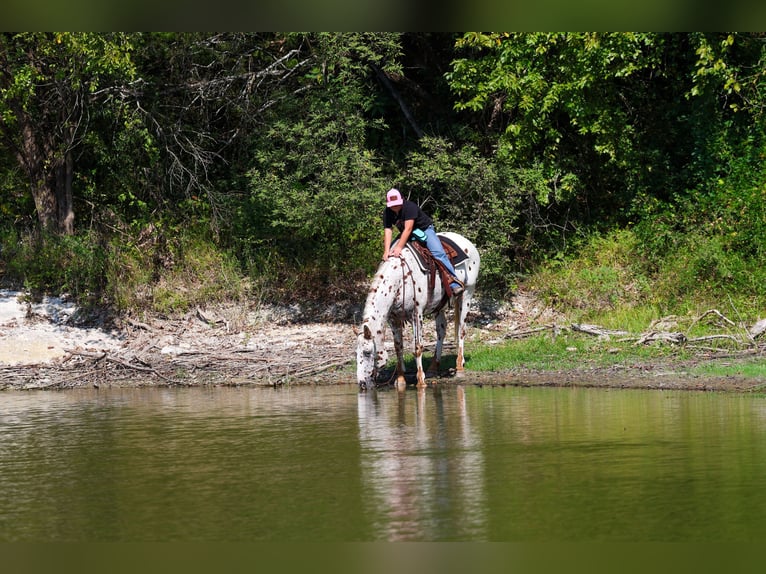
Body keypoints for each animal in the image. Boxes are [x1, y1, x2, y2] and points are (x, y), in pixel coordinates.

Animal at [355, 231, 480, 391]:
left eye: (367, 352)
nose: (362, 384)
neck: (400, 279)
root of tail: (468, 243)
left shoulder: (416, 314)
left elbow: (417, 346)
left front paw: (421, 381)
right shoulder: (394, 318)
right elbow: (398, 347)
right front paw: (400, 380)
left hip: (467, 295)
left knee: (461, 330)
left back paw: (459, 367)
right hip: (439, 306)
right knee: (441, 330)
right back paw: (433, 367)